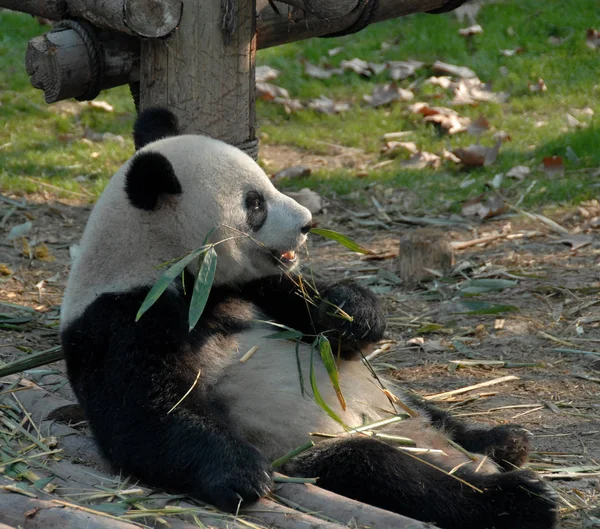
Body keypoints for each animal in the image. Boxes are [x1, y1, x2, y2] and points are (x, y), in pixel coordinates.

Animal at [61, 108, 556, 528]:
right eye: (254, 203)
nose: (307, 223)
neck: (156, 260)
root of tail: (422, 438)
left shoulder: (255, 287)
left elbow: (313, 309)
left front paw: (353, 313)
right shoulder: (121, 319)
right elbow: (142, 415)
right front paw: (242, 473)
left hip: (394, 398)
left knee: (434, 415)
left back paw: (503, 440)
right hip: (318, 446)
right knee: (384, 470)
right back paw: (517, 498)